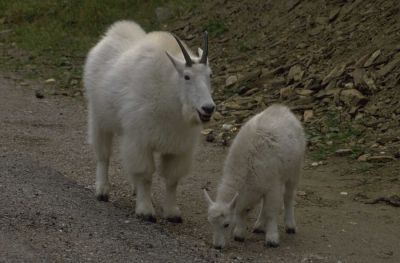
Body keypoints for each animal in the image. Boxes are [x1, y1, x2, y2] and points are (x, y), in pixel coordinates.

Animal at [84, 20, 216, 223]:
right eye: (186, 76)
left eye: (210, 75)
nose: (208, 108)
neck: (171, 94)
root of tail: (110, 35)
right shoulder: (141, 140)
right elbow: (145, 175)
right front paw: (145, 210)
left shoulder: (179, 147)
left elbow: (172, 180)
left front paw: (172, 212)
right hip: (99, 117)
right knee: (103, 155)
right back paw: (102, 190)